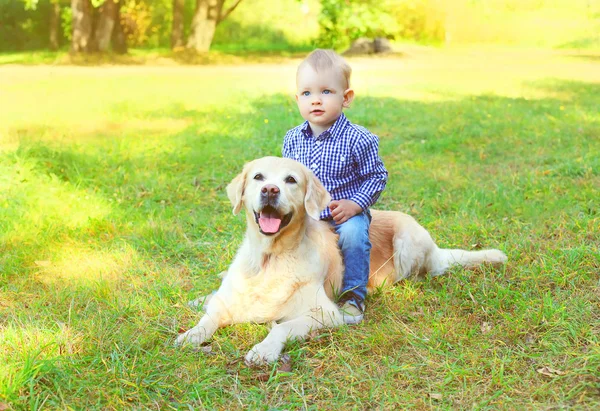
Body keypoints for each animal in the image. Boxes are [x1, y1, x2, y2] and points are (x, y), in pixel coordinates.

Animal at [175, 157, 506, 364]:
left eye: (291, 180)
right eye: (258, 177)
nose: (270, 190)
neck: (271, 256)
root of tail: (436, 248)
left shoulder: (324, 313)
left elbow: (281, 327)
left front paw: (264, 350)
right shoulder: (229, 301)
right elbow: (209, 318)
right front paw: (191, 334)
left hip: (408, 241)